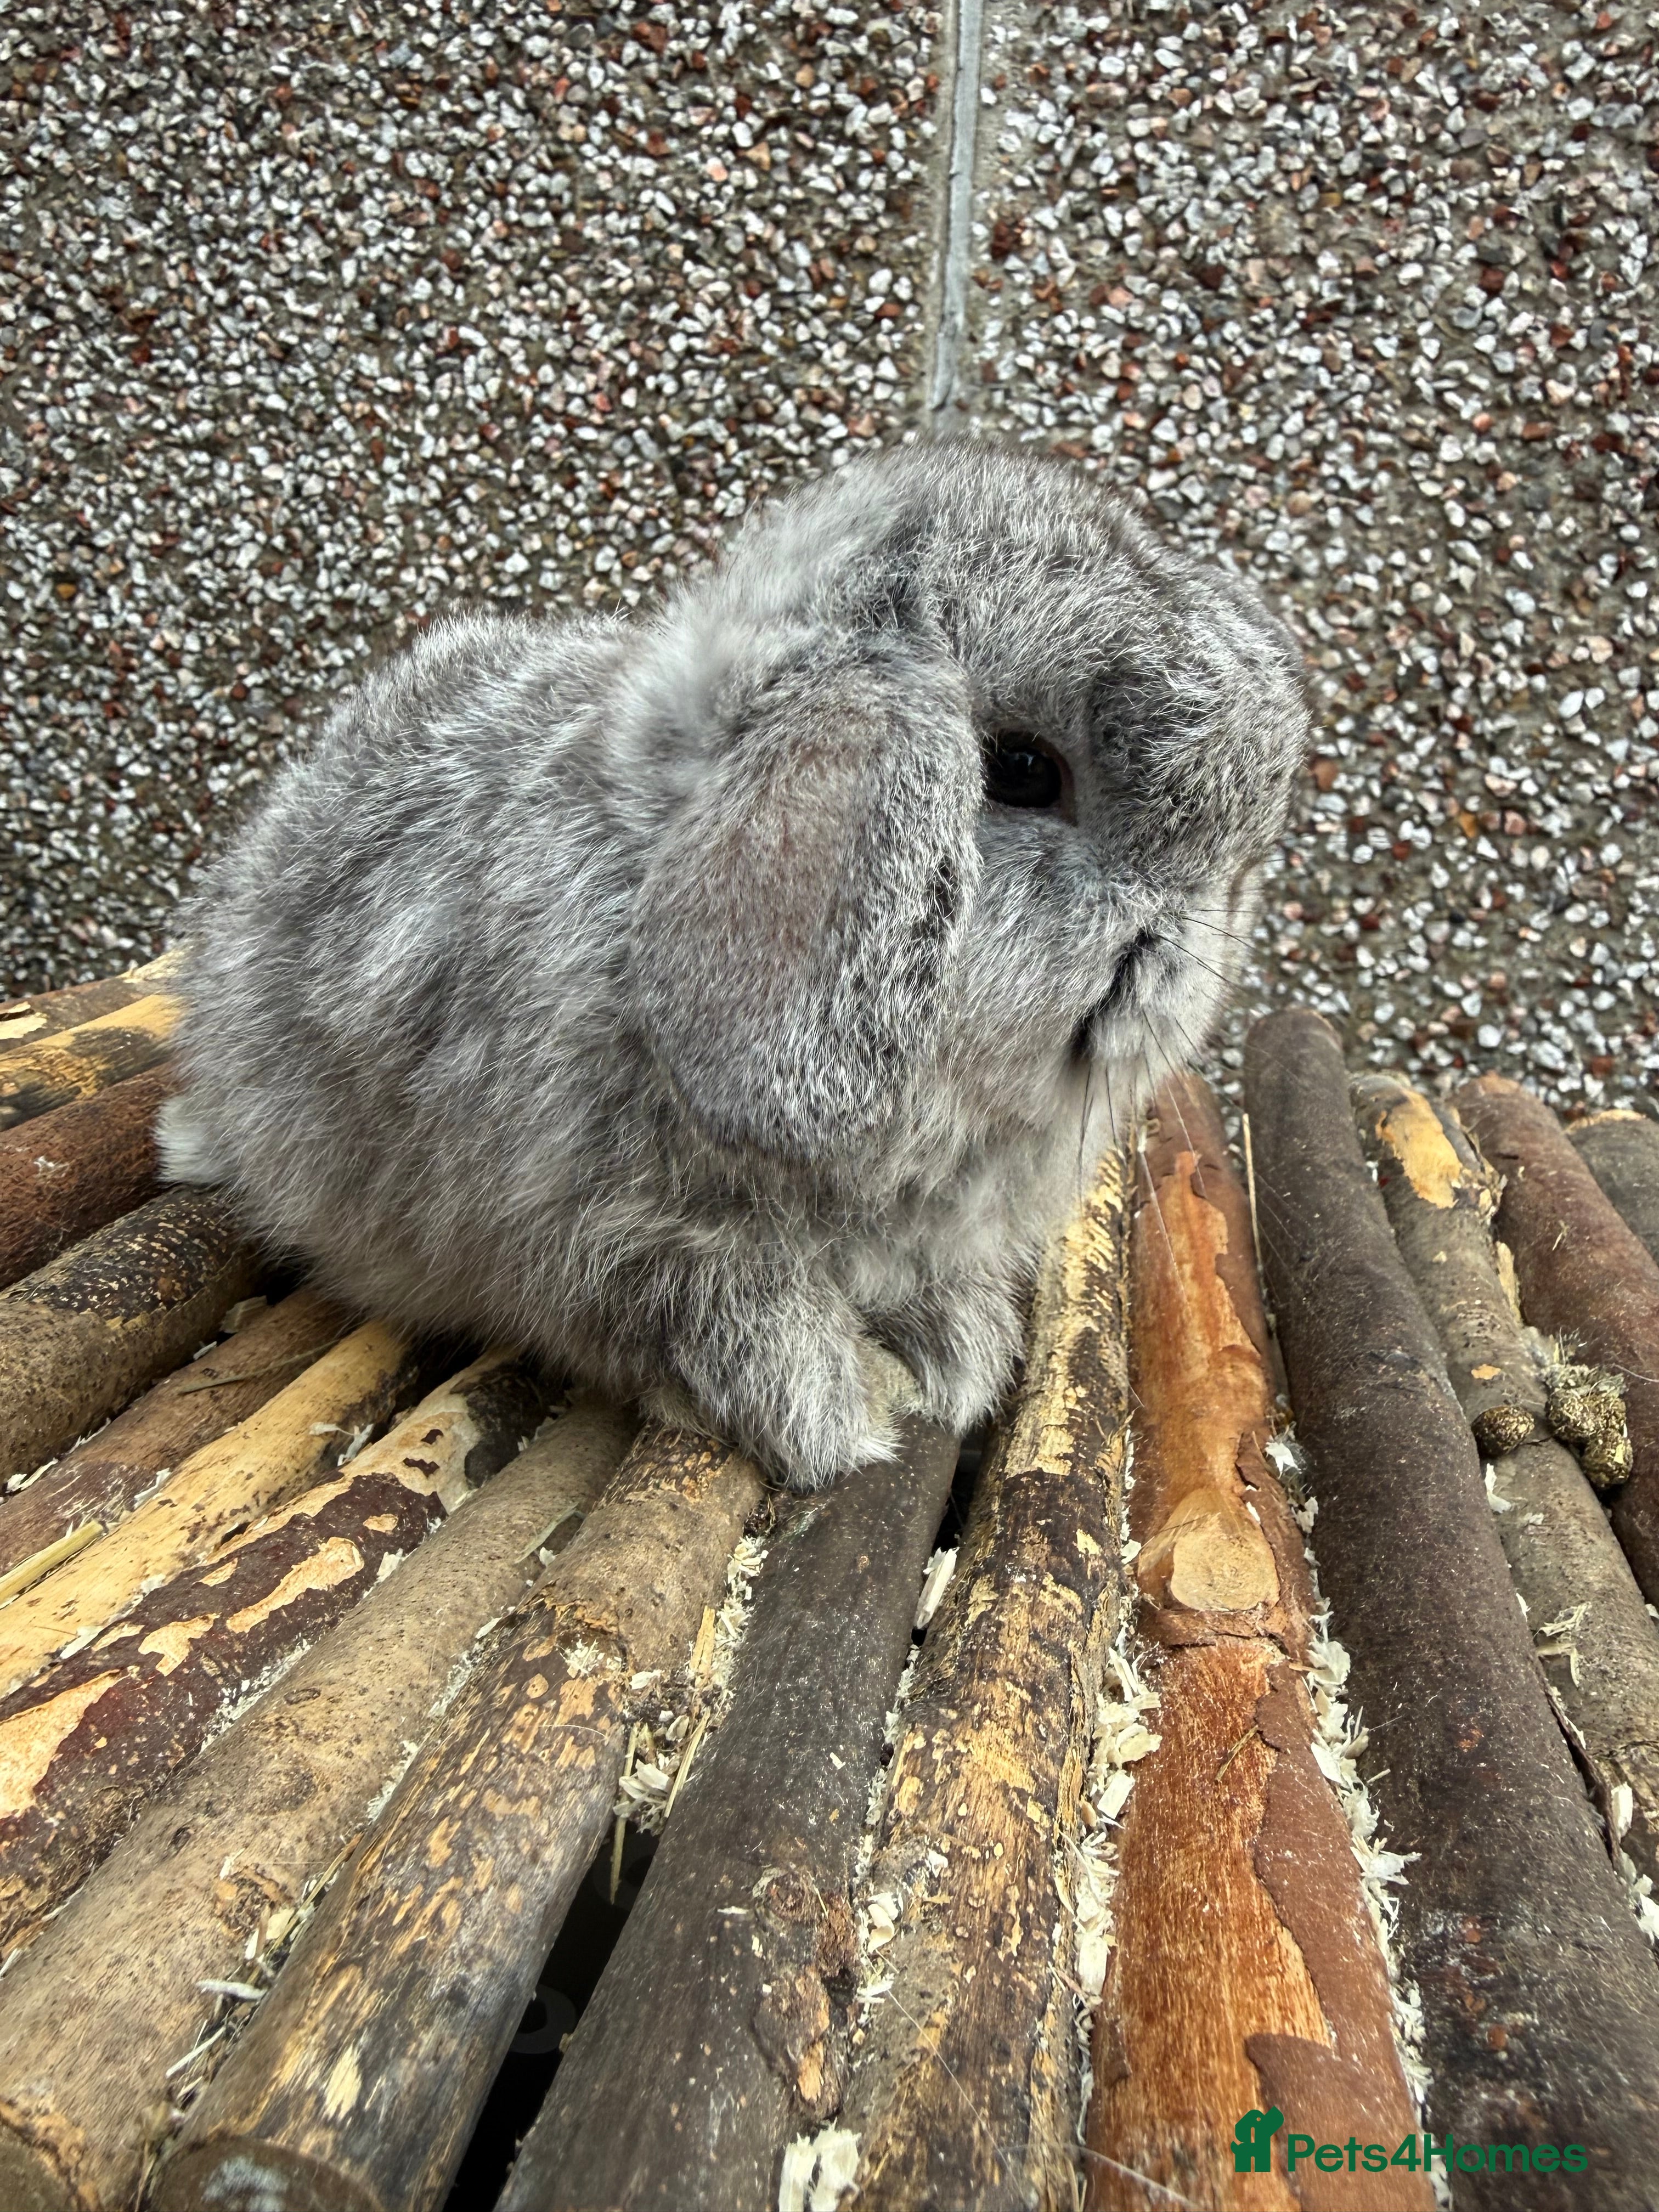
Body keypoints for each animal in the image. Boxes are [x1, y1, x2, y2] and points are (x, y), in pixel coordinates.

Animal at [159, 442, 1309, 1489]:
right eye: (1024, 771)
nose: (1196, 960)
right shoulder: (620, 1243)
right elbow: (717, 1313)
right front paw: (838, 1410)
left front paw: (956, 1356)